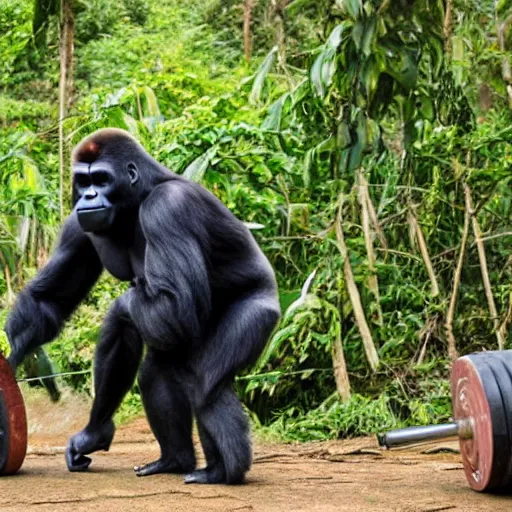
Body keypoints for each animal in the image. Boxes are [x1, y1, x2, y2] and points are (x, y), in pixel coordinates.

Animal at [4, 128, 282, 484]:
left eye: (102, 179)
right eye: (83, 180)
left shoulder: (168, 208)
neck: (139, 196)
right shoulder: (76, 223)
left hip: (260, 312)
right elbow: (49, 300)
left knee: (205, 384)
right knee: (157, 368)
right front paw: (16, 353)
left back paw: (222, 470)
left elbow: (172, 306)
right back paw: (172, 459)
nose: (88, 197)